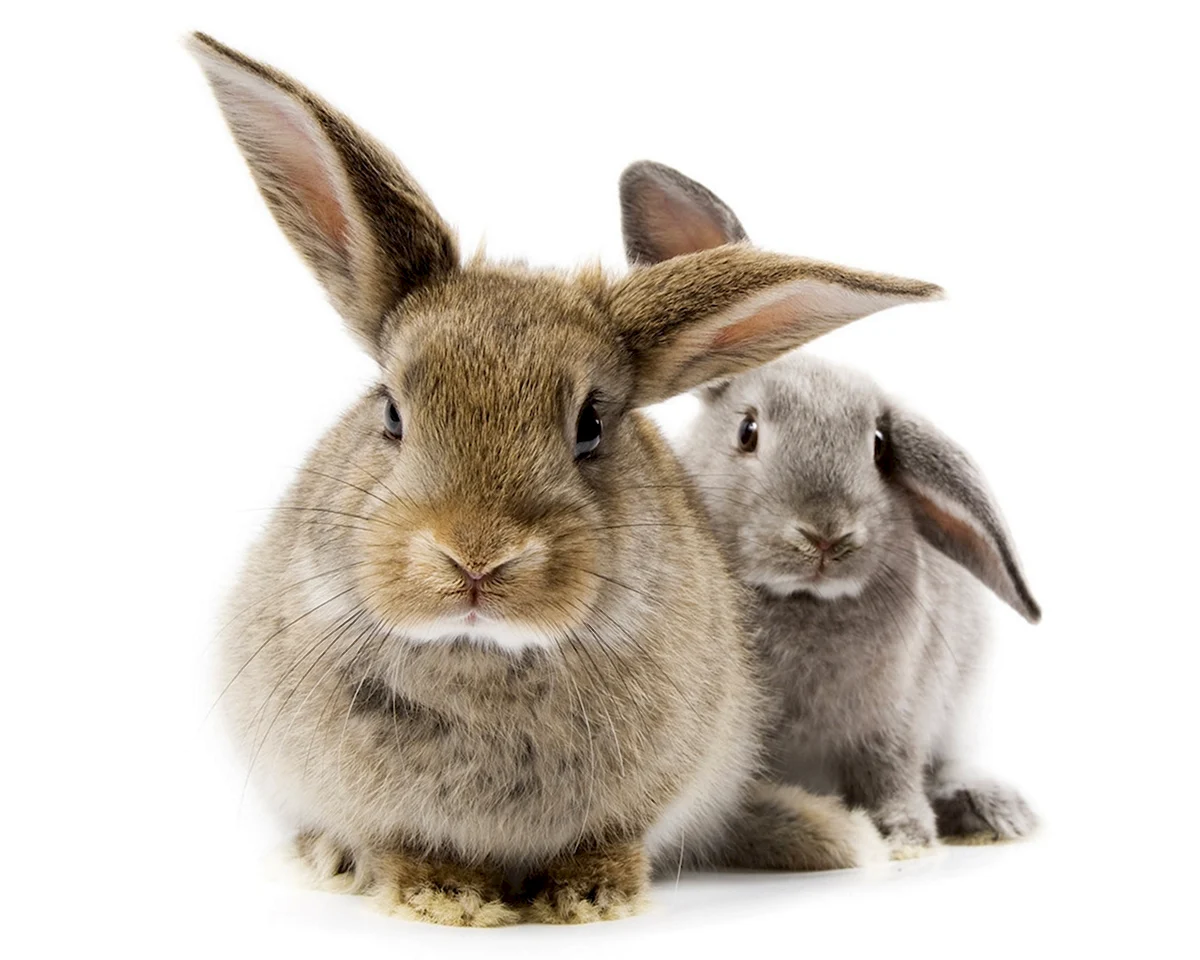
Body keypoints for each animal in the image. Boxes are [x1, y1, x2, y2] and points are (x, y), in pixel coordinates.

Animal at [188, 34, 942, 927]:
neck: (483, 657)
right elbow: (404, 844)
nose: (475, 558)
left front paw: (590, 896)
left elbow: (610, 839)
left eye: (590, 426)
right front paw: (446, 898)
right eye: (392, 412)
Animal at [620, 160, 1041, 857]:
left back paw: (988, 809)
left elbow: (890, 771)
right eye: (747, 432)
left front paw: (903, 836)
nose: (824, 535)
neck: (802, 603)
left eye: (879, 447)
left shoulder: (894, 720)